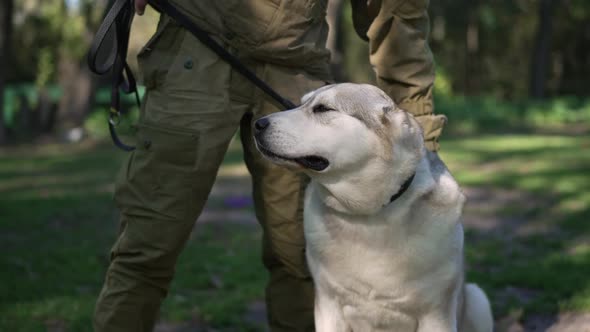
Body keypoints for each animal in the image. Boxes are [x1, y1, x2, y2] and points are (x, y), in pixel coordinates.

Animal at [254, 83, 494, 332]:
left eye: (323, 109)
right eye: (301, 104)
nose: (258, 124)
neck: (368, 214)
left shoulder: (436, 315)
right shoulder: (328, 306)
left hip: (478, 298)